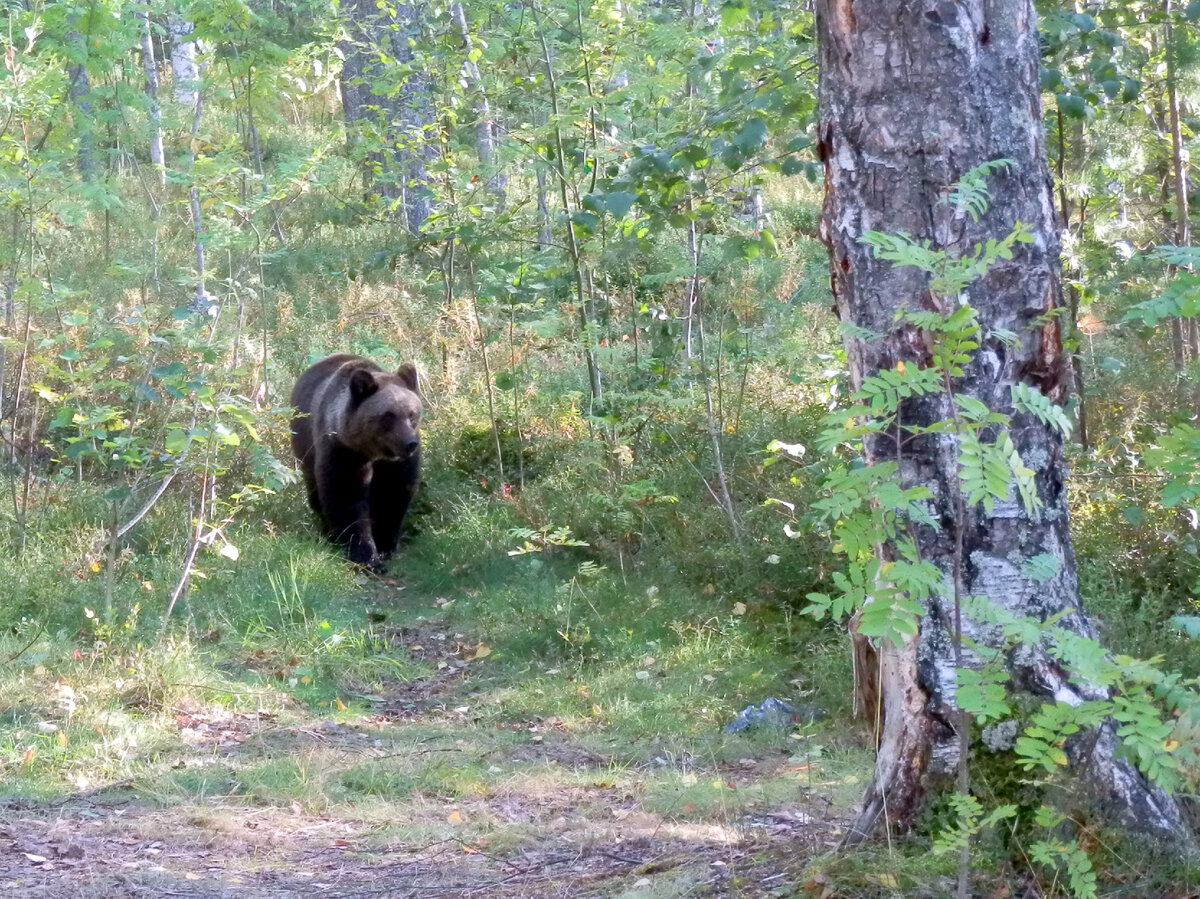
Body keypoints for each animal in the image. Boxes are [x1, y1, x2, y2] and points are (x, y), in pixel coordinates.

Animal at [290, 352, 422, 568]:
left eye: (412, 414)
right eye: (388, 416)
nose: (410, 443)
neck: (373, 452)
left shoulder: (396, 465)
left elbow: (393, 496)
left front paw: (385, 545)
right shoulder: (343, 452)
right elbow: (346, 499)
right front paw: (366, 555)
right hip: (304, 446)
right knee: (315, 493)